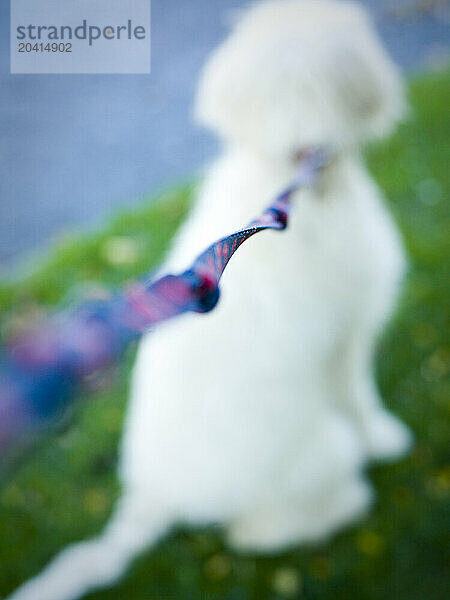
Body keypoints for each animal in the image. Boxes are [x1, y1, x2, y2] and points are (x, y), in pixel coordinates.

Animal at [8, 1, 414, 600]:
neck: (293, 177)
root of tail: (154, 494)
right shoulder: (347, 339)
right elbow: (360, 398)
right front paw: (387, 441)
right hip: (320, 451)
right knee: (258, 533)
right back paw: (349, 501)